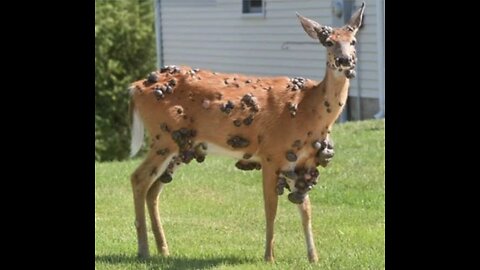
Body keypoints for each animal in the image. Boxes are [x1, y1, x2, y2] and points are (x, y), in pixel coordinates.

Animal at [126, 2, 364, 264]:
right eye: (328, 42)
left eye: (353, 40)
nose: (344, 60)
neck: (307, 109)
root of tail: (135, 87)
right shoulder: (271, 154)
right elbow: (271, 209)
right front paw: (269, 257)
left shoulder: (301, 163)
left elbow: (306, 211)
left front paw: (314, 258)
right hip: (163, 137)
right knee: (138, 178)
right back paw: (143, 249)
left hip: (181, 146)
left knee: (153, 190)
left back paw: (163, 249)